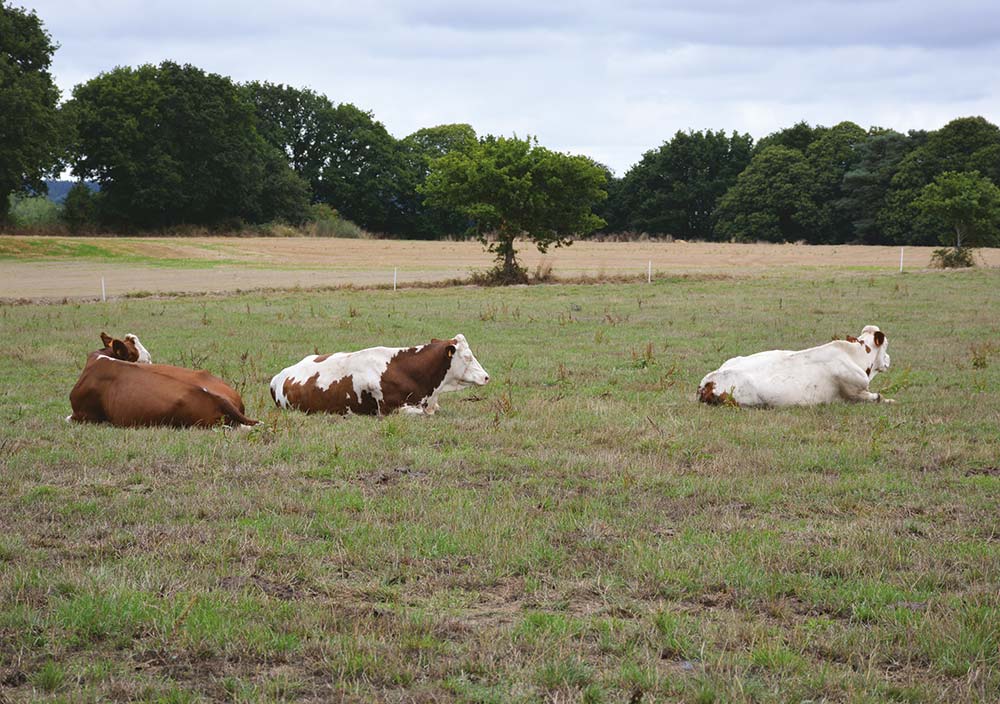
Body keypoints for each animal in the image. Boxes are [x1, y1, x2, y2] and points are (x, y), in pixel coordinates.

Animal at [700, 324, 896, 408]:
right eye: (886, 345)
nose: (889, 359)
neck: (853, 355)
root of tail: (708, 381)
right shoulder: (856, 392)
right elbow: (879, 397)